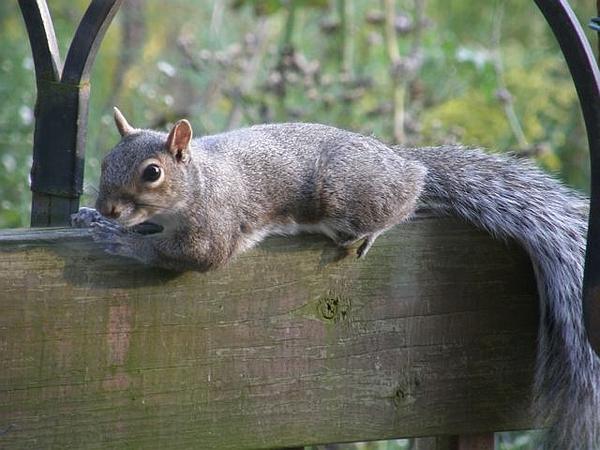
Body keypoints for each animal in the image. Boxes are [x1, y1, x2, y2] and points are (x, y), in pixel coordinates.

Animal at [74, 107, 600, 448]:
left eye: (153, 173)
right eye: (105, 162)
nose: (107, 208)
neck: (196, 183)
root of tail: (404, 162)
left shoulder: (214, 224)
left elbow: (198, 255)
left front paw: (117, 239)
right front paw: (90, 218)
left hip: (347, 193)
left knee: (406, 199)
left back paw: (375, 227)